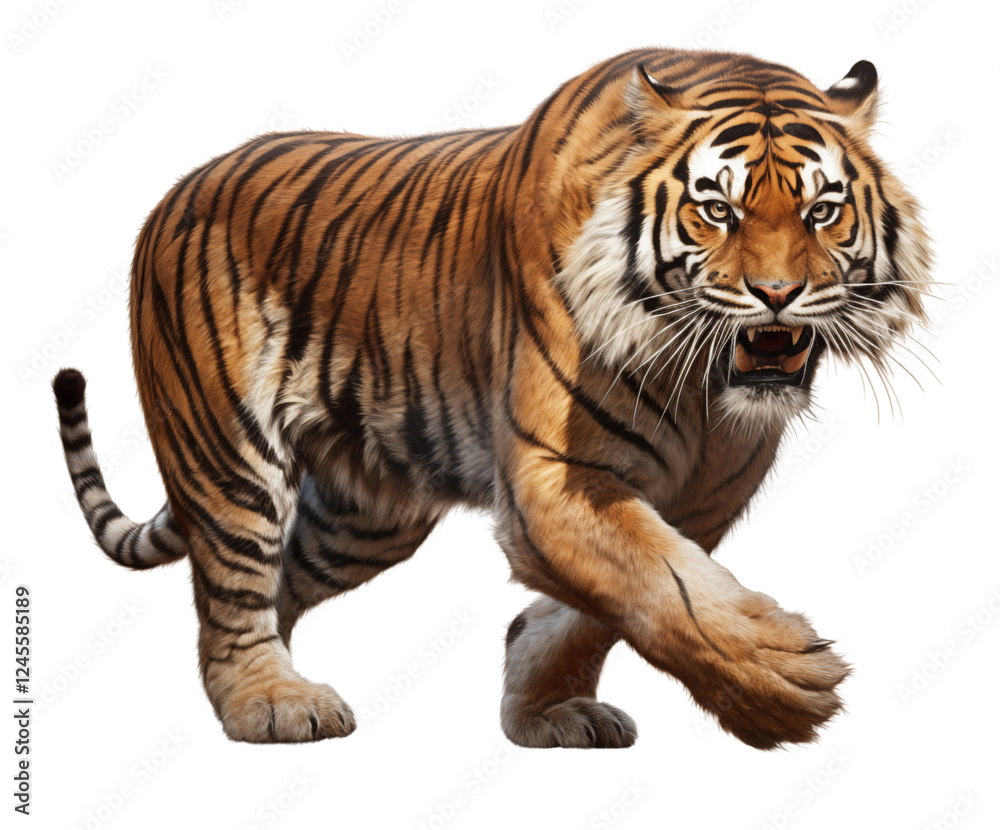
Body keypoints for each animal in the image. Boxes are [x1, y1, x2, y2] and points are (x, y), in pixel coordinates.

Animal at [54, 47, 930, 749]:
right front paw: (782, 685)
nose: (778, 295)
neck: (704, 393)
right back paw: (268, 704)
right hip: (227, 453)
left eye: (822, 211)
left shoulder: (704, 492)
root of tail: (178, 190)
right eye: (718, 209)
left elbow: (615, 600)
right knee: (234, 587)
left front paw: (543, 706)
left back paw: (286, 682)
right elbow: (661, 586)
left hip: (367, 516)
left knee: (277, 587)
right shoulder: (554, 477)